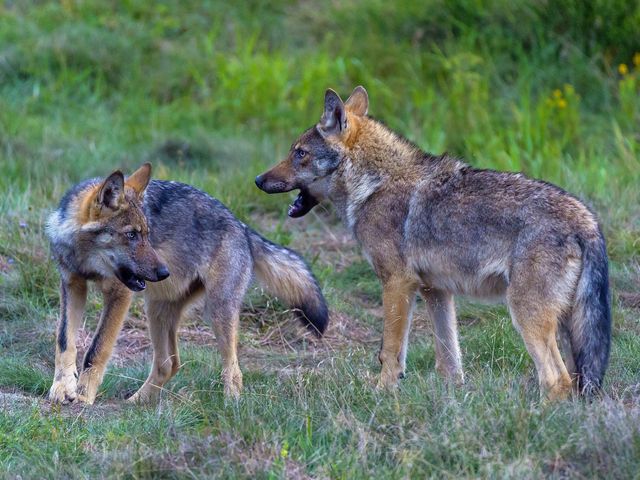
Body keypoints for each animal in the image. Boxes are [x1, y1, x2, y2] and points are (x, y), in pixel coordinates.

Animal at [47, 163, 328, 404]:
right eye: (132, 235)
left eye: (146, 234)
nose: (164, 272)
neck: (84, 258)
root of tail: (243, 227)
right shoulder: (72, 285)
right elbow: (64, 341)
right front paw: (62, 388)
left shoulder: (119, 294)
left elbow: (97, 348)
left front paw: (83, 396)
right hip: (157, 310)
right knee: (168, 364)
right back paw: (136, 403)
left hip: (217, 312)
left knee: (233, 370)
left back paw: (231, 408)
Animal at [255, 86, 611, 400]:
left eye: (299, 153)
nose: (258, 180)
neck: (373, 186)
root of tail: (586, 220)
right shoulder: (435, 290)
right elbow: (450, 363)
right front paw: (452, 402)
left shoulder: (397, 283)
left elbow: (390, 351)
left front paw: (382, 395)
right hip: (567, 327)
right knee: (574, 381)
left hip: (526, 315)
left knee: (556, 380)